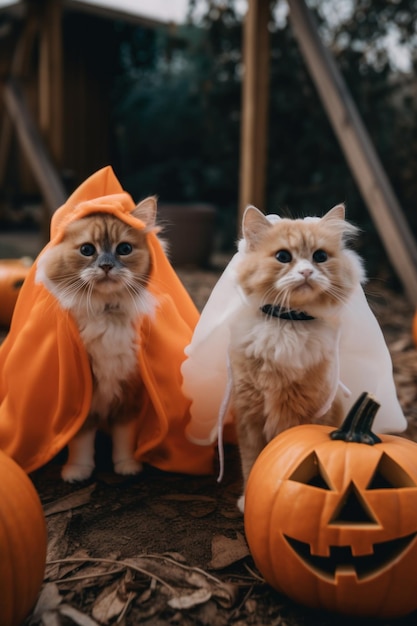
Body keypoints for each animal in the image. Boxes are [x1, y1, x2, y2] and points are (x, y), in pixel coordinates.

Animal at [34, 197, 156, 480]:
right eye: (87, 250)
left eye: (124, 249)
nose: (106, 266)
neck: (105, 311)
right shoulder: (80, 395)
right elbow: (81, 440)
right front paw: (77, 471)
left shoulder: (129, 393)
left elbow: (124, 437)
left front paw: (127, 466)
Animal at [229, 202, 362, 510]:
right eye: (283, 257)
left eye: (320, 257)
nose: (306, 273)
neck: (287, 324)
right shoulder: (249, 414)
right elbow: (252, 462)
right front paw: (249, 500)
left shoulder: (304, 411)